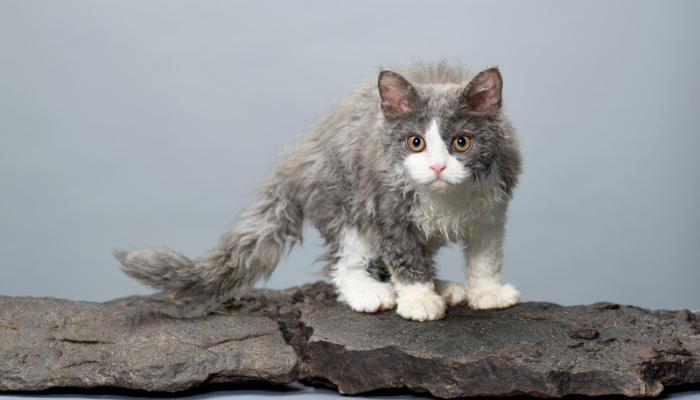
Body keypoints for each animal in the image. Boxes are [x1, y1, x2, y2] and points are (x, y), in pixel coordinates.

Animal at [116, 60, 520, 322]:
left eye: (461, 142)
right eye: (415, 142)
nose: (437, 167)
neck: (448, 198)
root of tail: (295, 158)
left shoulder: (493, 207)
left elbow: (486, 256)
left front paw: (488, 293)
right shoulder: (386, 207)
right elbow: (405, 259)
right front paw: (419, 300)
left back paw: (445, 286)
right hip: (344, 203)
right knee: (343, 264)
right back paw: (371, 292)